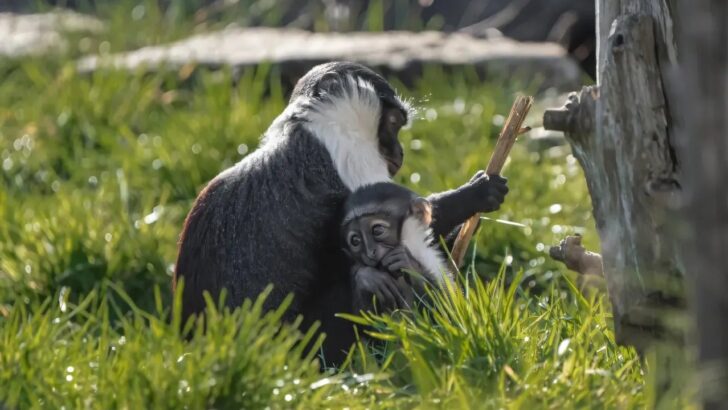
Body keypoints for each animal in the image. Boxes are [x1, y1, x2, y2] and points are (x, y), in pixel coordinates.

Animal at [340, 182, 453, 314]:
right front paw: (367, 278)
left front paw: (410, 265)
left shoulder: (431, 261)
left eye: (377, 230)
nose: (370, 252)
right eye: (355, 241)